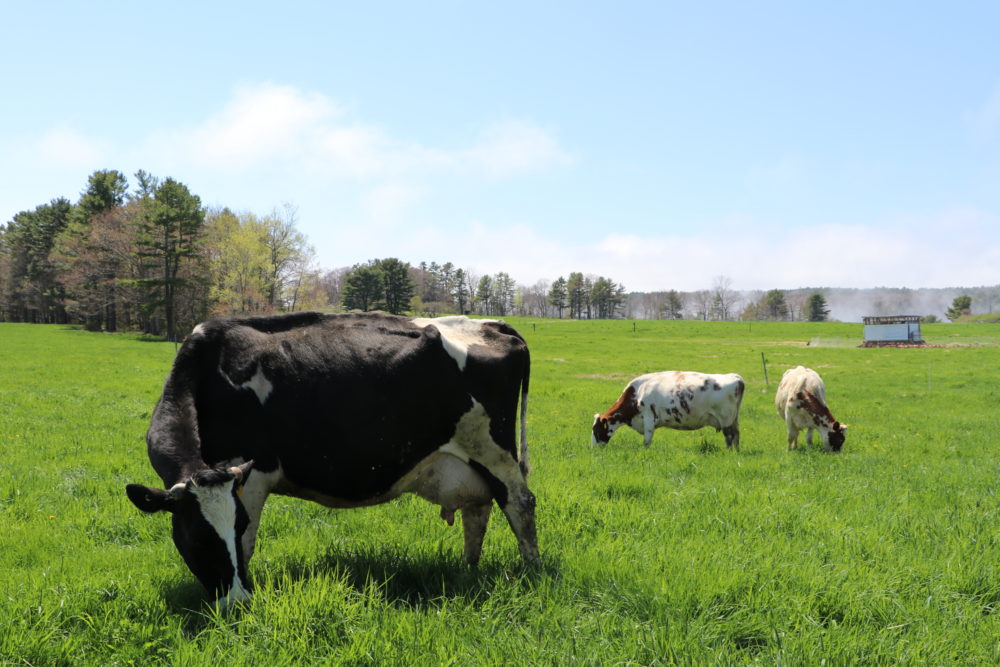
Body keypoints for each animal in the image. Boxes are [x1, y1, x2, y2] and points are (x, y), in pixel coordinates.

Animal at [126, 312, 540, 604]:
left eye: (236, 523)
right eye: (198, 535)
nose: (237, 601)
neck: (210, 367)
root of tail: (491, 324)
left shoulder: (253, 475)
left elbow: (248, 544)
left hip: (493, 451)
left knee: (520, 503)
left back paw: (532, 571)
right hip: (471, 460)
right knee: (479, 510)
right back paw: (467, 571)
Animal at [592, 370, 744, 448]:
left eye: (597, 430)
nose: (593, 449)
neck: (638, 392)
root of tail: (735, 377)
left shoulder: (649, 418)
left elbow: (646, 441)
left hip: (726, 419)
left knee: (730, 437)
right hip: (734, 419)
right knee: (736, 436)